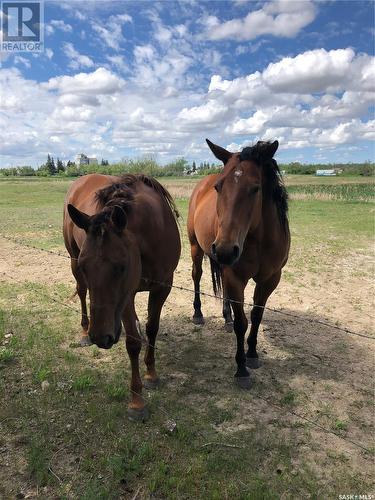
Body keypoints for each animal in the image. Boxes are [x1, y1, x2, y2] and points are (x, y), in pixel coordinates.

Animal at [64, 174, 181, 420]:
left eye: (121, 266)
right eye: (86, 266)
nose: (100, 337)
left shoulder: (163, 287)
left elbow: (152, 329)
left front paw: (151, 374)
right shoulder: (127, 296)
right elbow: (133, 342)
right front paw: (137, 401)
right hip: (72, 260)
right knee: (82, 291)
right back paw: (84, 332)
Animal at [188, 139, 290, 388]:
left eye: (255, 188)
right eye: (219, 187)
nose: (225, 249)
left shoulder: (270, 279)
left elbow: (256, 316)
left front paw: (252, 354)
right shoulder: (236, 277)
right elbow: (242, 323)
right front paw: (241, 368)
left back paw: (226, 316)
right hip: (196, 248)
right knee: (196, 276)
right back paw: (198, 314)